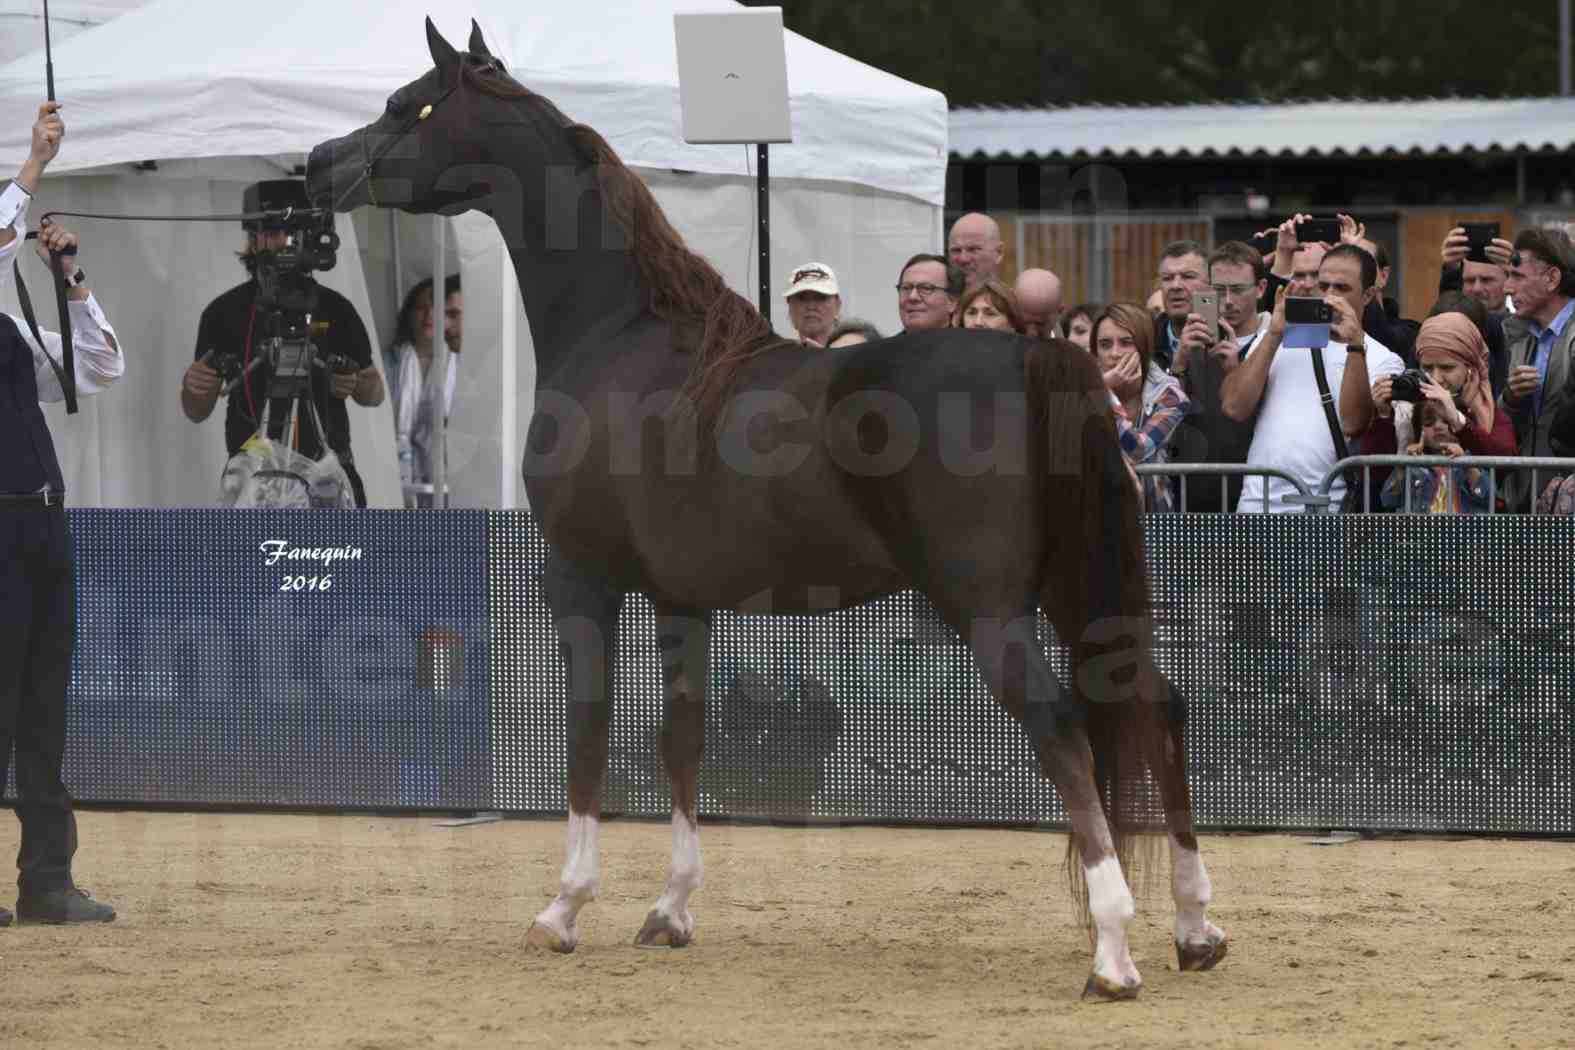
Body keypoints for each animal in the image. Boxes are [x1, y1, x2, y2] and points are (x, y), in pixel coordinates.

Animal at [300, 20, 1222, 1001]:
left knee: (1059, 726)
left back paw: (1113, 951)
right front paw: (669, 910)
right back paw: (1194, 927)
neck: (622, 340)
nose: (316, 167)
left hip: (986, 609)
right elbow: (683, 738)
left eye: (406, 104)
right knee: (1156, 703)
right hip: (1070, 589)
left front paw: (562, 910)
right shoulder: (681, 601)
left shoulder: (580, 582)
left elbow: (588, 736)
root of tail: (1030, 356)